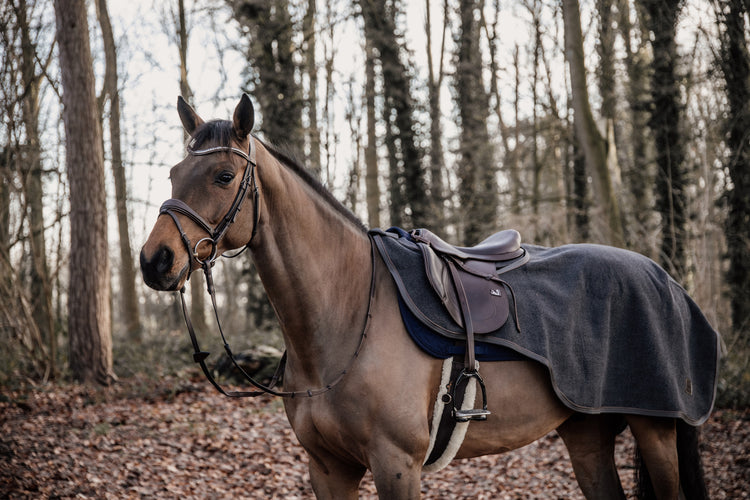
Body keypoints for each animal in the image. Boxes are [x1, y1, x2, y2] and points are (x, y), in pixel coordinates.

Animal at [141, 94, 712, 500]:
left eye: (223, 175)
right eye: (173, 174)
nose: (155, 261)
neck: (345, 315)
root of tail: (667, 281)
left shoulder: (397, 467)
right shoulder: (328, 469)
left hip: (655, 432)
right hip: (586, 432)